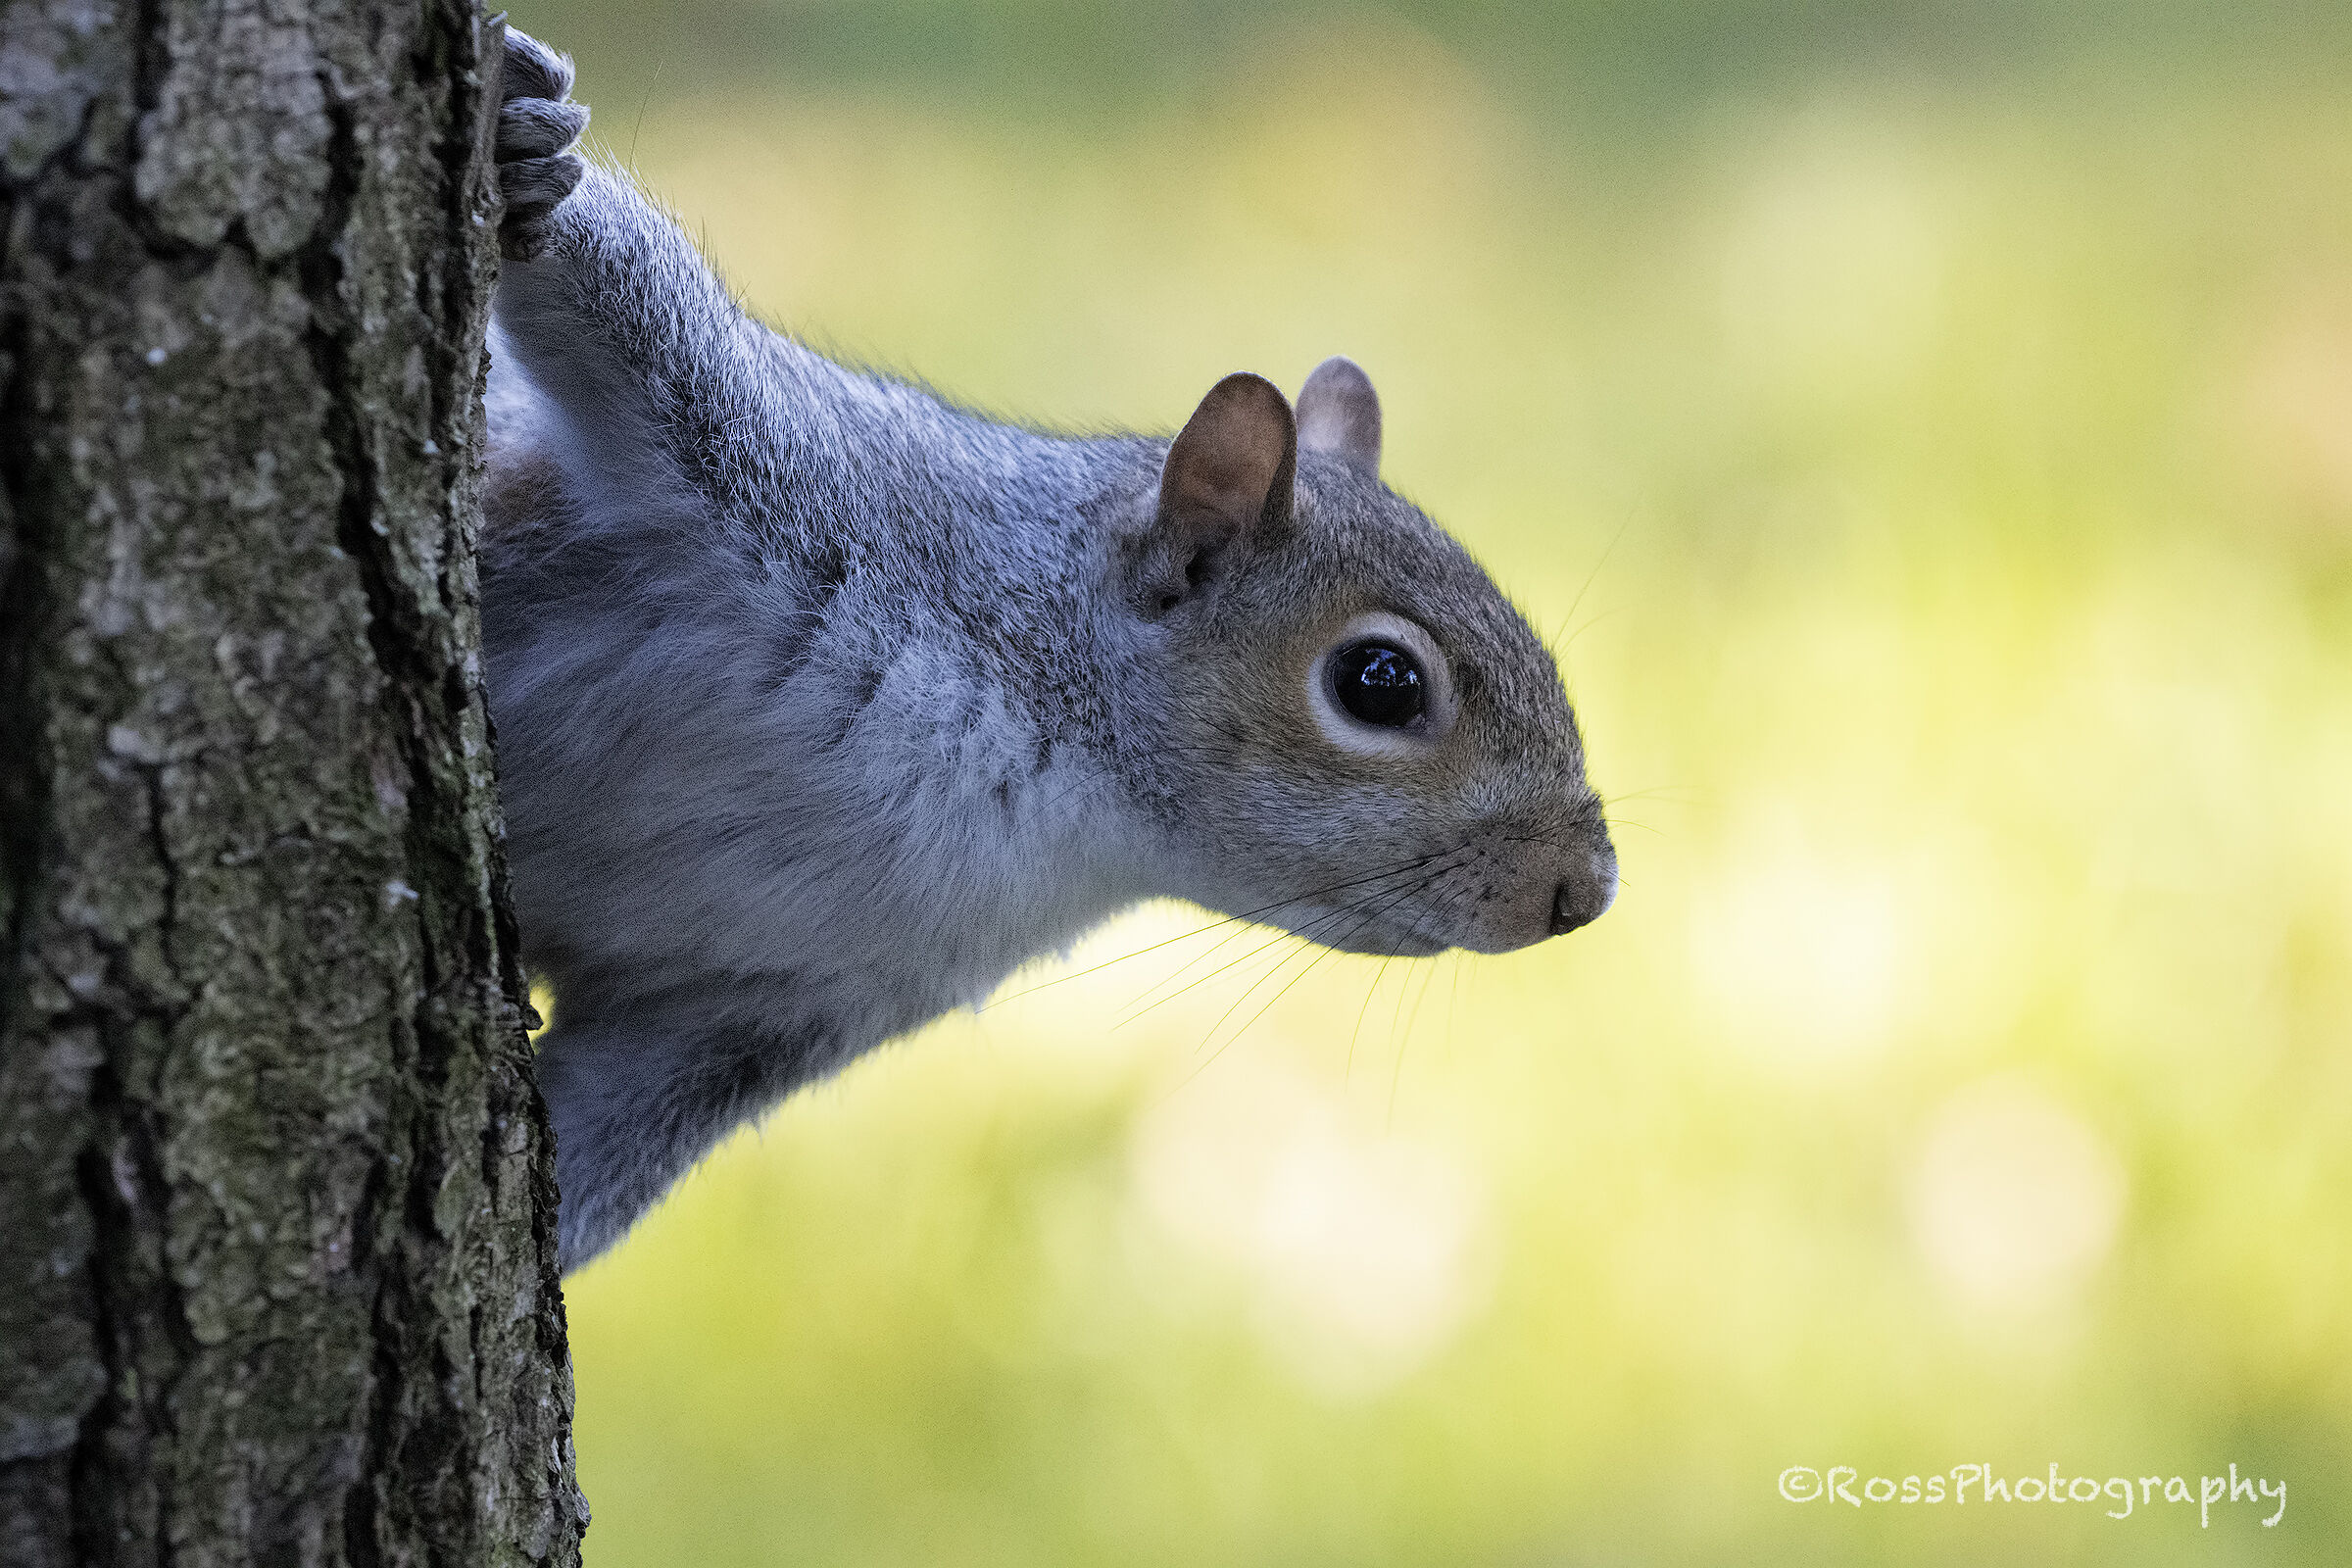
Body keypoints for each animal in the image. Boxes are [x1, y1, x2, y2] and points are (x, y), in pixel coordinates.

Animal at [482, 28, 1619, 1274]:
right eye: (1381, 681)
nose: (1586, 890)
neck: (1055, 788)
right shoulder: (788, 477)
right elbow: (632, 310)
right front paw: (531, 147)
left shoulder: (768, 1004)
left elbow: (614, 1130)